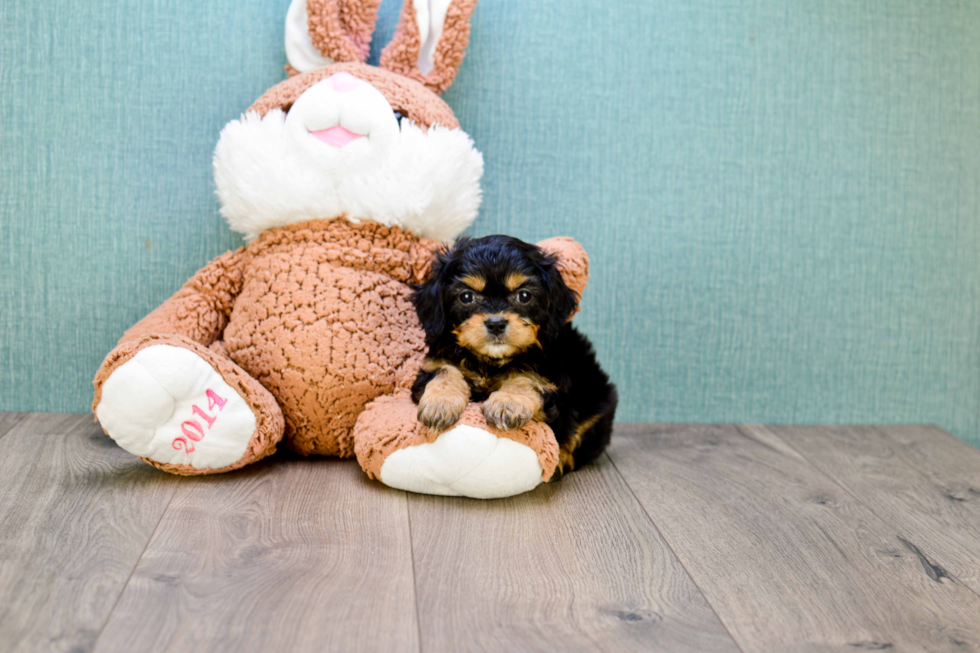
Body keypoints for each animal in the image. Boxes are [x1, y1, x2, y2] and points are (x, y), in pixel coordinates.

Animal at [410, 233, 616, 474]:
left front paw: (506, 404)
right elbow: (445, 371)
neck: (491, 361)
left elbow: (526, 377)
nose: (496, 323)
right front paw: (440, 404)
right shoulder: (433, 363)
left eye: (524, 296)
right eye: (466, 297)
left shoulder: (552, 382)